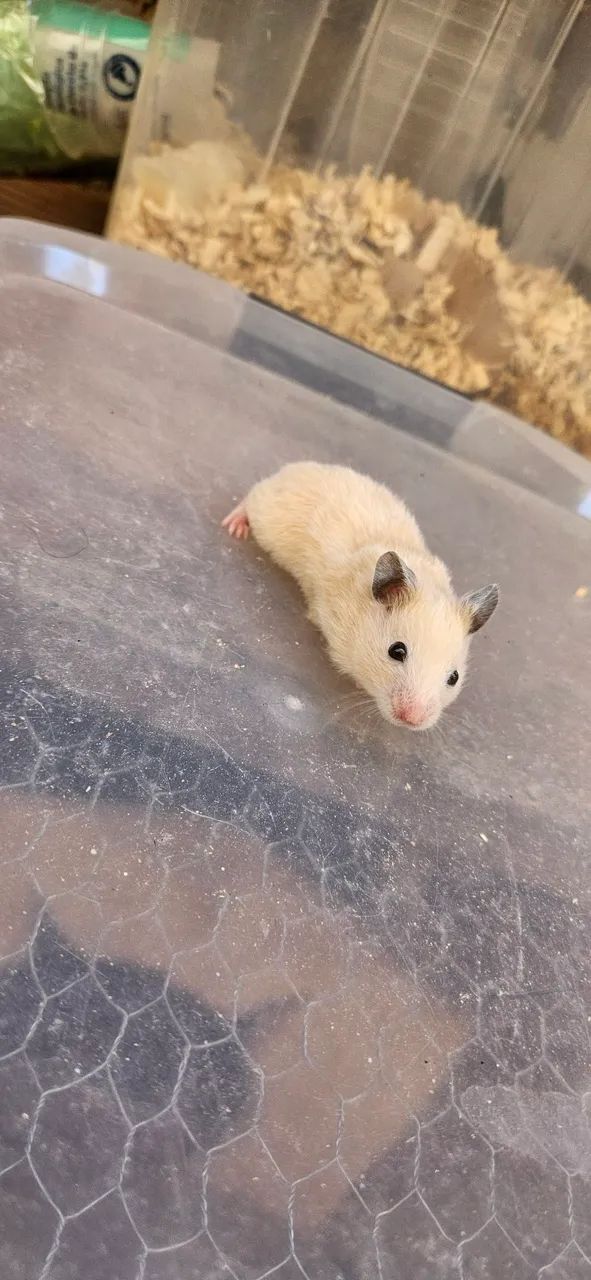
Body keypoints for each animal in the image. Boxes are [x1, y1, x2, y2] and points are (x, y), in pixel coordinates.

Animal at [222, 461, 498, 730]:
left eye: (454, 677)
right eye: (396, 651)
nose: (412, 720)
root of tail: (292, 467)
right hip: (265, 511)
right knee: (250, 497)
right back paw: (234, 526)